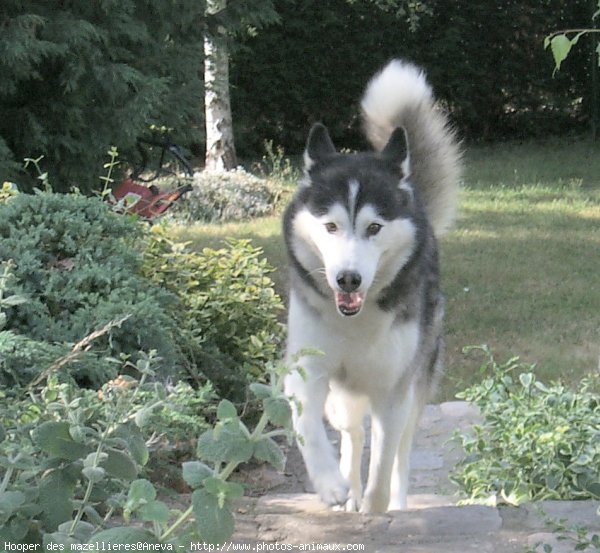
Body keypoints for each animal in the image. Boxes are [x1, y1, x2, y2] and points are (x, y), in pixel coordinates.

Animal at [284, 60, 462, 512]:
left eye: (374, 227)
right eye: (330, 226)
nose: (348, 278)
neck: (354, 322)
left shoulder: (393, 391)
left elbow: (383, 464)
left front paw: (377, 507)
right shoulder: (308, 369)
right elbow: (307, 425)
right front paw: (331, 484)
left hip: (418, 385)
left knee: (401, 450)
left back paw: (396, 503)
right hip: (343, 397)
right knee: (352, 434)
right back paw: (347, 486)